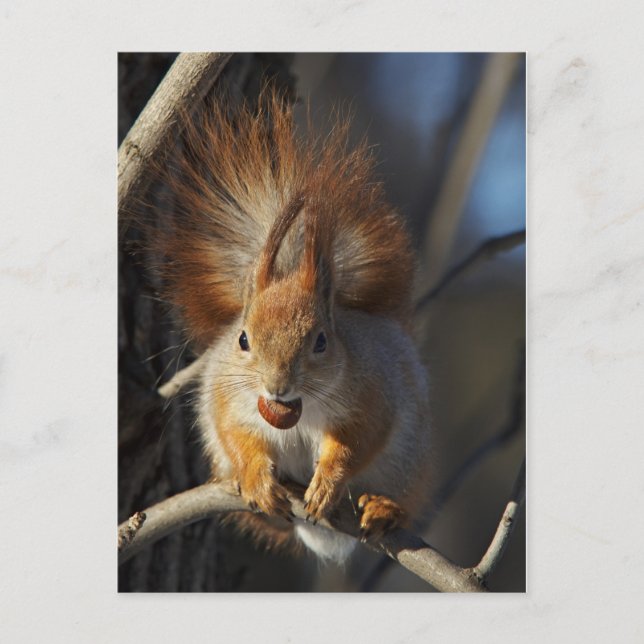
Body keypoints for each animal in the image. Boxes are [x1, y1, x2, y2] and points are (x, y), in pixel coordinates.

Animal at [149, 88, 433, 563]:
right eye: (243, 339)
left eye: (321, 341)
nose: (276, 386)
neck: (295, 411)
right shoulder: (227, 399)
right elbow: (236, 433)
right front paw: (256, 477)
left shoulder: (373, 392)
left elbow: (360, 438)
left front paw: (328, 482)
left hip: (408, 461)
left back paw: (384, 508)